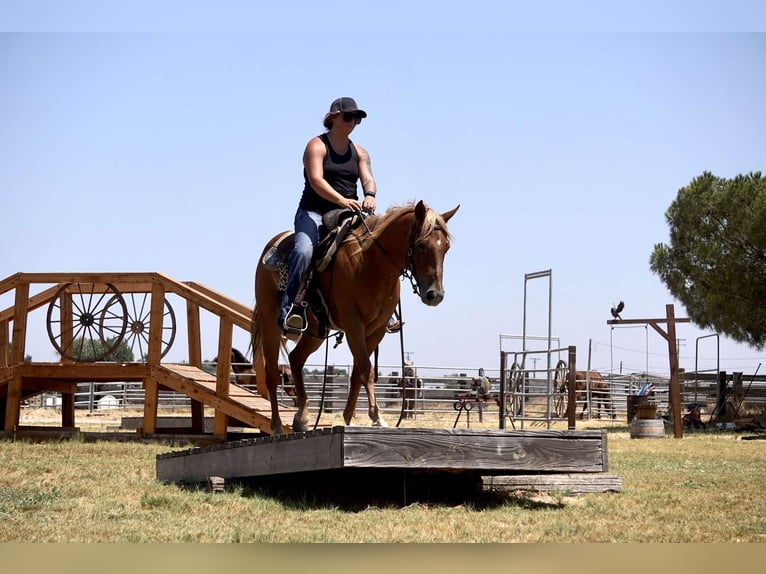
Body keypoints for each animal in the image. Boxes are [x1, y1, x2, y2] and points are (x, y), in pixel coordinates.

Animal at [252, 202, 460, 436]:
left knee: (296, 359)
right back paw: (277, 426)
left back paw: (302, 418)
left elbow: (358, 372)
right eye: (421, 245)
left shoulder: (376, 330)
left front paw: (349, 419)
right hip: (270, 322)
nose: (435, 295)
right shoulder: (353, 325)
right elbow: (366, 369)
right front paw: (377, 417)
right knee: (271, 373)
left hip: (316, 332)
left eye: (446, 247)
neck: (371, 264)